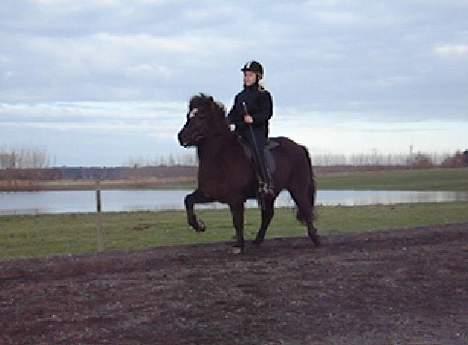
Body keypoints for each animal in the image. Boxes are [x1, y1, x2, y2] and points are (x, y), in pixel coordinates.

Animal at [177, 93, 320, 253]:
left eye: (201, 116)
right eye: (189, 115)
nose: (181, 137)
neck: (220, 156)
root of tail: (299, 147)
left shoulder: (236, 199)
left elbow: (238, 221)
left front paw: (239, 246)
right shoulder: (208, 194)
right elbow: (188, 200)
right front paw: (199, 226)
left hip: (297, 189)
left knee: (306, 209)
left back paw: (316, 239)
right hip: (270, 194)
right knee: (268, 215)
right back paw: (257, 241)